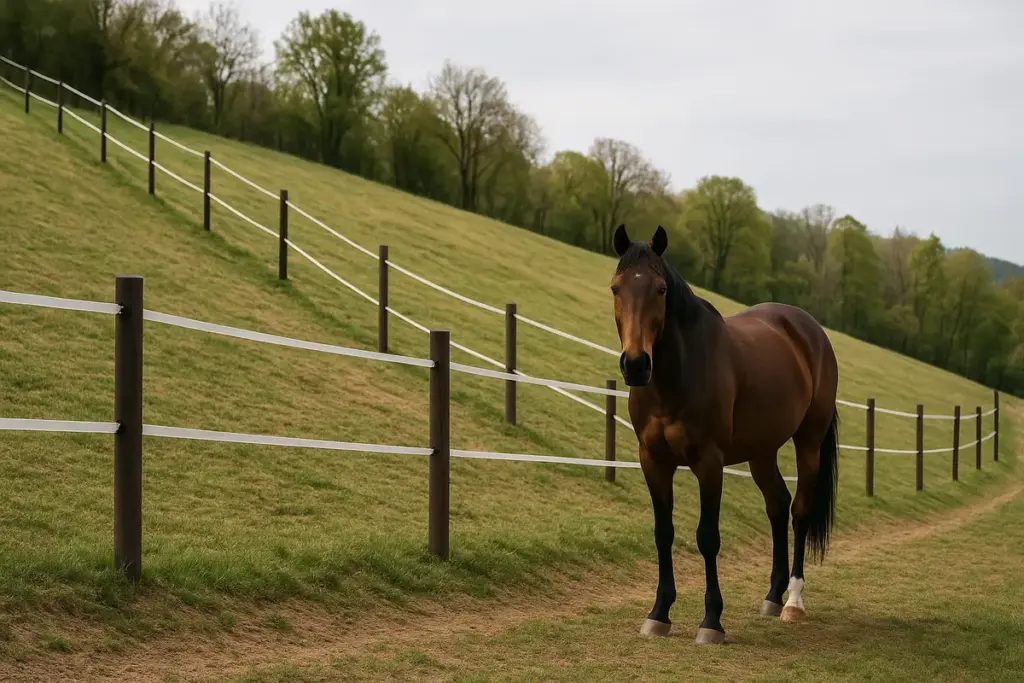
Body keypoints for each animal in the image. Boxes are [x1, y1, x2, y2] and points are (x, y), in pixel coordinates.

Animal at [610, 224, 839, 645]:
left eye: (661, 289)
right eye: (617, 287)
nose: (635, 365)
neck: (677, 376)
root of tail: (810, 330)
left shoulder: (709, 463)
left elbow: (707, 537)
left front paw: (711, 621)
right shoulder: (653, 459)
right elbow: (663, 532)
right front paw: (659, 613)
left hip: (809, 443)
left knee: (798, 511)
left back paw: (793, 602)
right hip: (761, 451)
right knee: (777, 504)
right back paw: (772, 596)